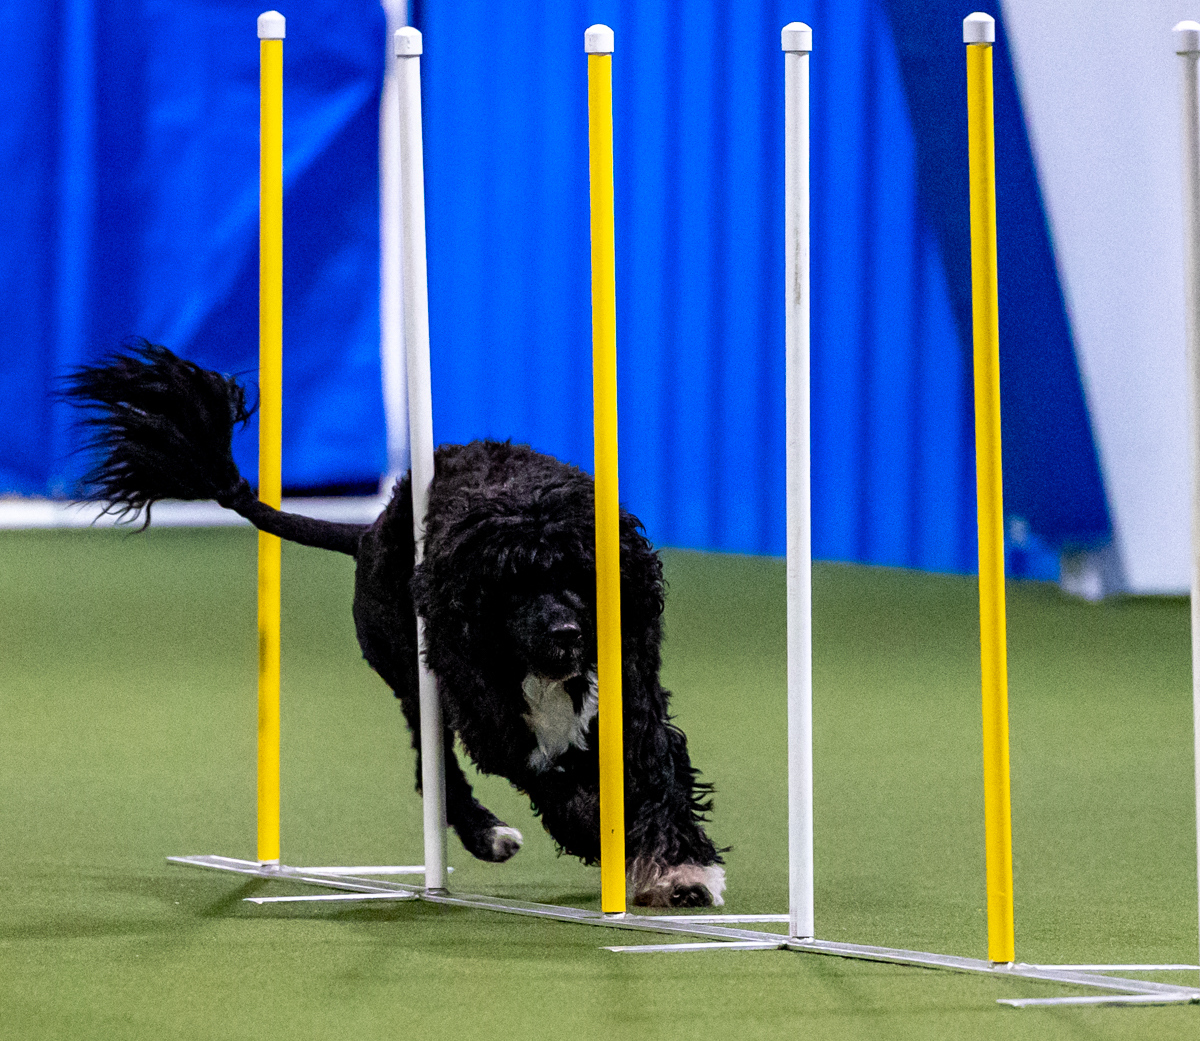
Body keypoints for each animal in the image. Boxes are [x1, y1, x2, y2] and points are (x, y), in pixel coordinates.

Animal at [66, 341, 725, 907]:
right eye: (511, 585)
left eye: (580, 574)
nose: (567, 634)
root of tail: (367, 532)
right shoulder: (496, 720)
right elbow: (559, 786)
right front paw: (604, 836)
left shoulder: (631, 699)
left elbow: (656, 778)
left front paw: (680, 870)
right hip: (414, 676)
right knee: (434, 770)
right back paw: (489, 835)